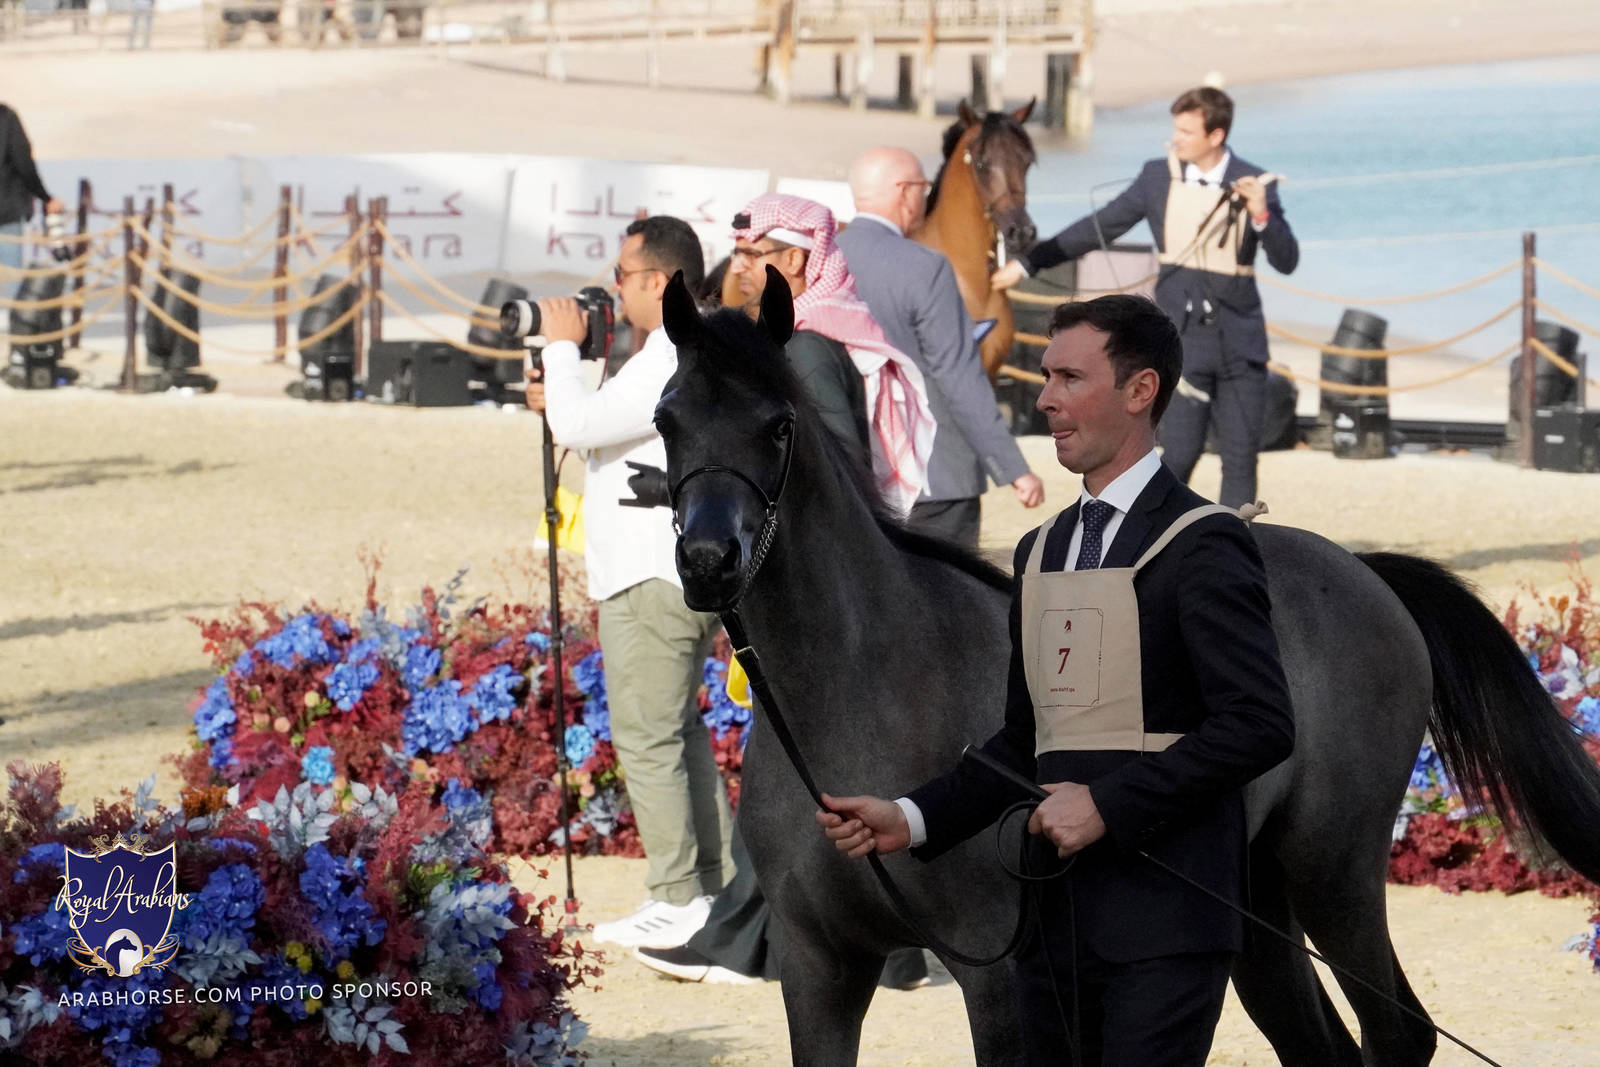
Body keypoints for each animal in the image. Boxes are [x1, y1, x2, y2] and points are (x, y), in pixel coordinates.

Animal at [653, 271, 1600, 1066]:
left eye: (779, 423)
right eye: (668, 419)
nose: (708, 560)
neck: (854, 696)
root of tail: (1365, 571)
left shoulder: (995, 974)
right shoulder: (821, 970)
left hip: (1332, 871)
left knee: (1398, 1031)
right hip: (1254, 908)